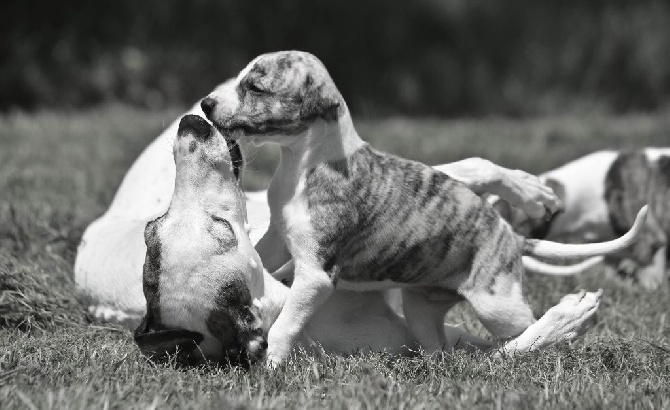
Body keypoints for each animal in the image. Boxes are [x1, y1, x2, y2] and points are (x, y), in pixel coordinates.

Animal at [202, 51, 648, 366]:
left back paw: (569, 320)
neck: (305, 165)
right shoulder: (281, 237)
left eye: (255, 87)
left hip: (497, 304)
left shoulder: (315, 275)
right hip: (420, 306)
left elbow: (288, 320)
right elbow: (259, 257)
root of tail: (511, 235)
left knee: (522, 333)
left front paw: (273, 363)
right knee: (444, 352)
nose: (205, 104)